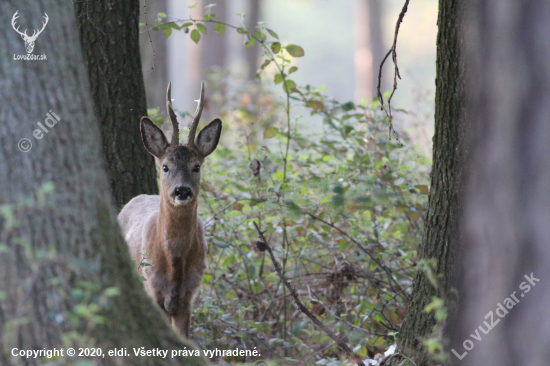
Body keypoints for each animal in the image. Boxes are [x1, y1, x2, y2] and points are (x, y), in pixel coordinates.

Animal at [118, 82, 222, 338]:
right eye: (165, 167)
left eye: (196, 167)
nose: (182, 190)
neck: (174, 260)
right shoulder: (152, 287)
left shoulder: (189, 295)